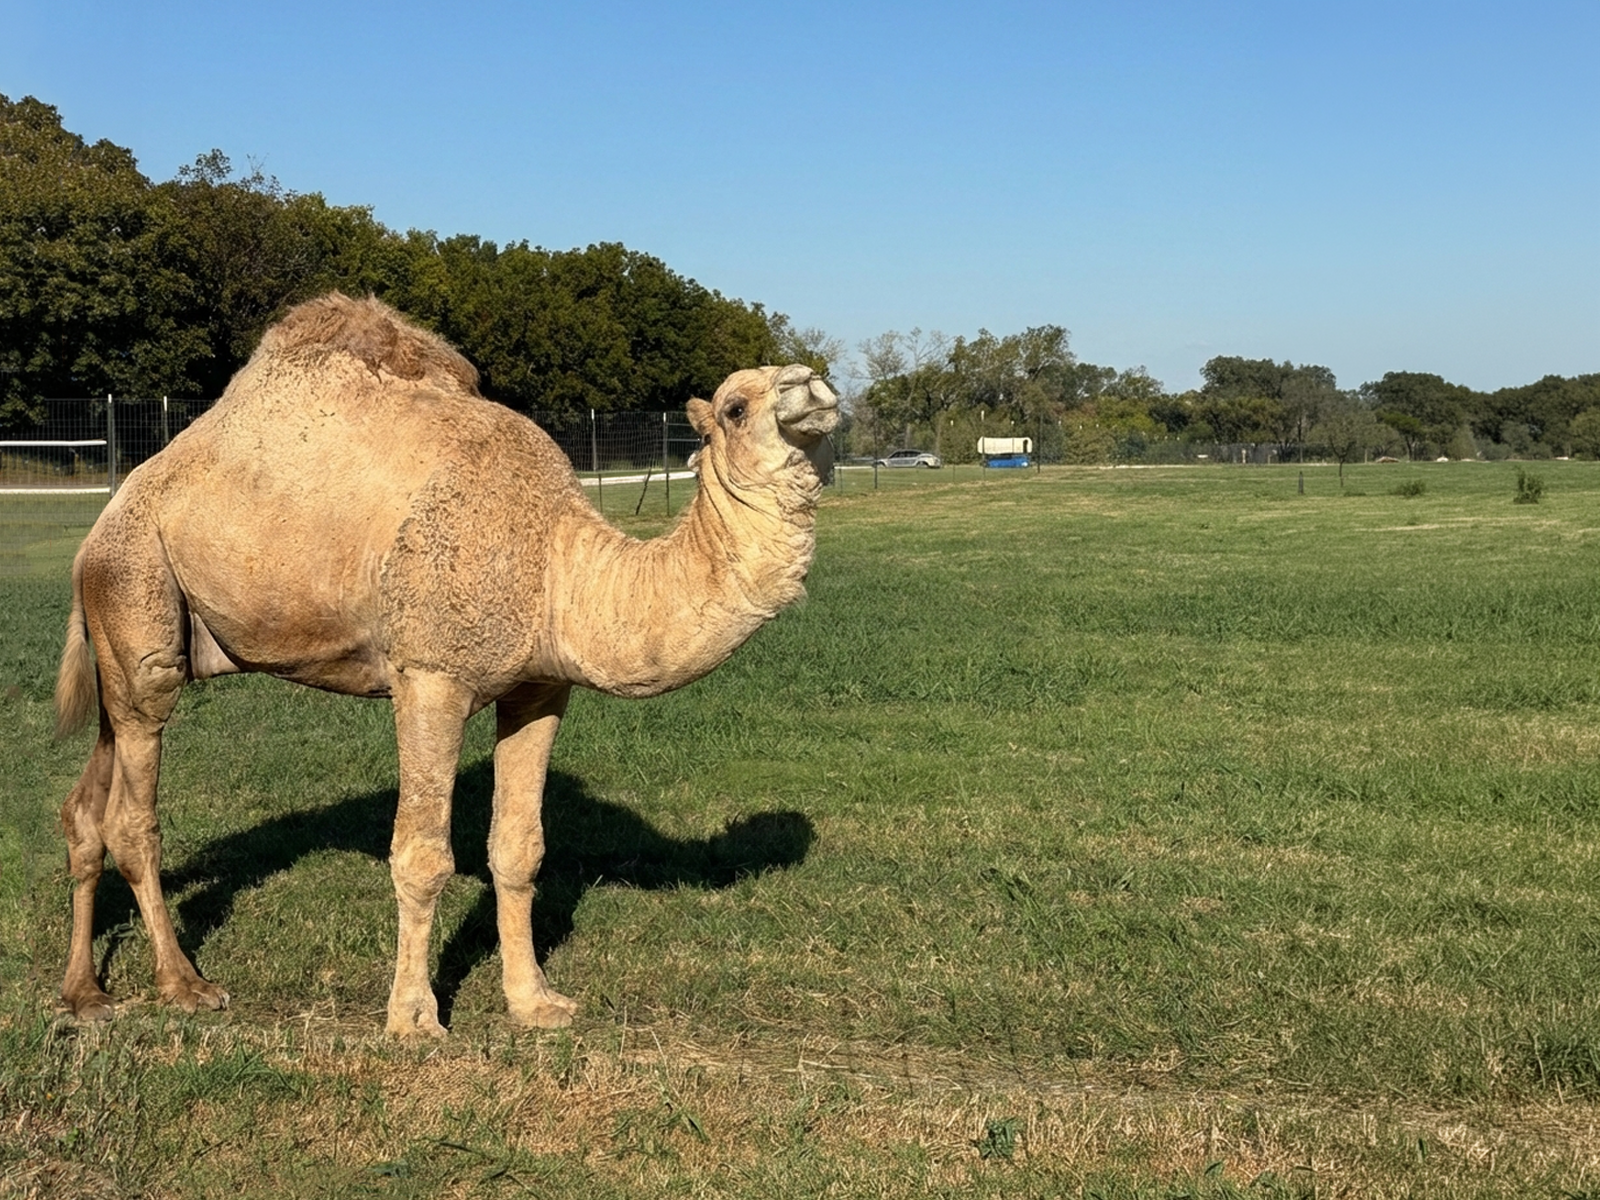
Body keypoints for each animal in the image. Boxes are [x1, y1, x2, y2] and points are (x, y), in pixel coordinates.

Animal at [53, 292, 837, 1036]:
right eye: (735, 406)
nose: (811, 384)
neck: (555, 560)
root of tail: (96, 531)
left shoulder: (539, 687)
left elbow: (518, 849)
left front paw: (535, 1002)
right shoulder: (431, 675)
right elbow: (423, 855)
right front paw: (414, 1017)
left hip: (130, 649)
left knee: (86, 806)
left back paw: (84, 994)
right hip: (138, 599)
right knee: (135, 813)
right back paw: (184, 985)